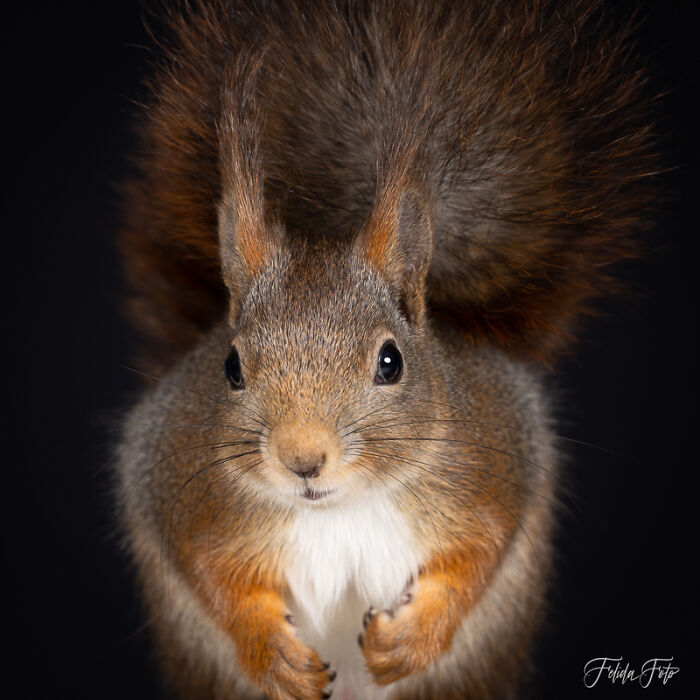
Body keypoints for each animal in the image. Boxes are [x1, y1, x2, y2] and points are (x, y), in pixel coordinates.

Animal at [115, 1, 655, 698]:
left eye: (391, 361)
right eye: (231, 368)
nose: (303, 459)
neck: (339, 509)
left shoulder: (494, 464)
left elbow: (479, 554)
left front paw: (412, 638)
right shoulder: (185, 493)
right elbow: (213, 577)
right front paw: (273, 653)